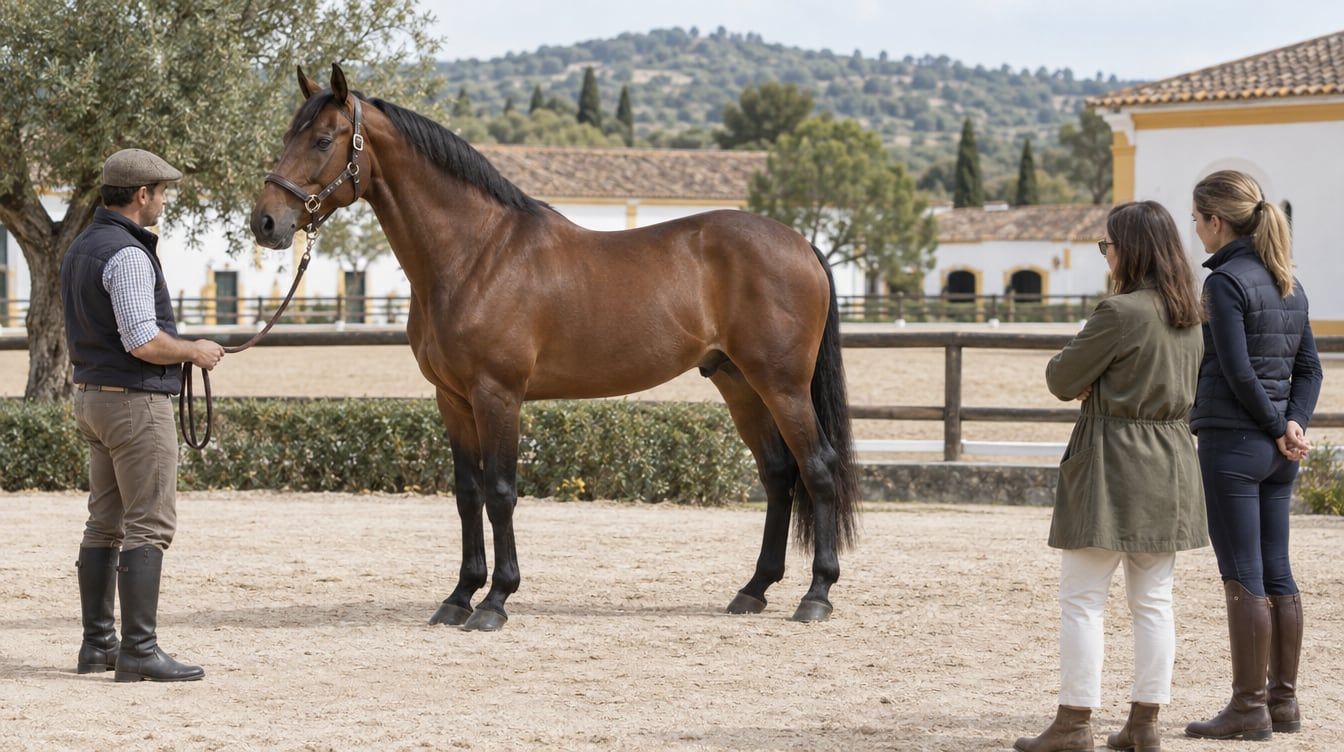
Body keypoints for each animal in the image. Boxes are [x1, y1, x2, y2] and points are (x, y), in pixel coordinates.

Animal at [250, 63, 859, 631]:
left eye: (323, 140)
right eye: (286, 135)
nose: (266, 222)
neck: (475, 255)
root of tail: (801, 243)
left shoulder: (498, 395)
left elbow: (500, 492)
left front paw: (495, 601)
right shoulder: (453, 400)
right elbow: (467, 494)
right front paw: (458, 597)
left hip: (781, 385)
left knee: (817, 467)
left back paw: (816, 595)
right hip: (738, 383)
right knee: (778, 474)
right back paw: (753, 590)